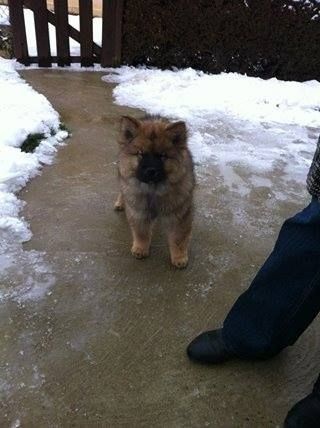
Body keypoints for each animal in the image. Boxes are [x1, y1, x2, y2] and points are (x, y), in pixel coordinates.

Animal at [115, 113, 195, 268]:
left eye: (162, 155)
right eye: (140, 153)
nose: (151, 171)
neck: (153, 190)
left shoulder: (180, 214)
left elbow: (178, 238)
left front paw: (179, 258)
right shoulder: (139, 210)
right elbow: (141, 232)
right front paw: (140, 249)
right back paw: (120, 203)